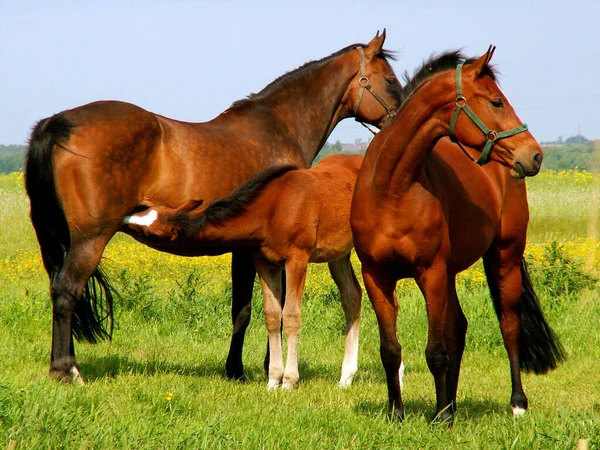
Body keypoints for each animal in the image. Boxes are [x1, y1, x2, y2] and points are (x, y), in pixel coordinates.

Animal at [124, 153, 368, 388]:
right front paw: (273, 381)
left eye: (149, 232)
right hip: (338, 254)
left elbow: (290, 316)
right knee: (352, 296)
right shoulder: (264, 261)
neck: (274, 207)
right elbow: (272, 316)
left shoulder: (297, 259)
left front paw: (289, 381)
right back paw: (346, 378)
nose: (126, 217)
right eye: (149, 210)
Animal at [350, 47, 564, 424]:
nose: (535, 155)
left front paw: (441, 418)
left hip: (503, 257)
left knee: (509, 326)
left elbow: (436, 350)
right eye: (496, 102)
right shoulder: (376, 276)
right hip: (450, 273)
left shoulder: (430, 272)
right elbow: (391, 350)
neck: (391, 188)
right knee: (459, 328)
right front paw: (397, 413)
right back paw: (450, 400)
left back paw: (515, 403)